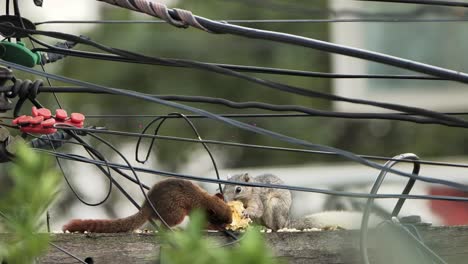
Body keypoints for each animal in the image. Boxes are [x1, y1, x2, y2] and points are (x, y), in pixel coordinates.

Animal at [63, 178, 233, 232]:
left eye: (230, 211)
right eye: (220, 218)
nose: (230, 221)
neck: (206, 200)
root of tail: (149, 207)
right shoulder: (198, 214)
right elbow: (204, 225)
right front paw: (221, 228)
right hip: (176, 213)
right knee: (165, 225)